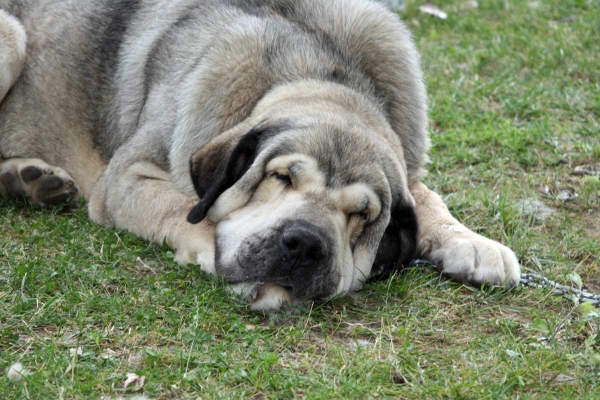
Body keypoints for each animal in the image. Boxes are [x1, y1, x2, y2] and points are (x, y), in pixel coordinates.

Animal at [1, 0, 520, 310]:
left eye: (363, 216)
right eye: (281, 177)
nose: (305, 243)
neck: (319, 67)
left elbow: (426, 195)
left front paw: (471, 241)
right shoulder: (127, 177)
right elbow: (191, 214)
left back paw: (27, 181)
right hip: (11, 38)